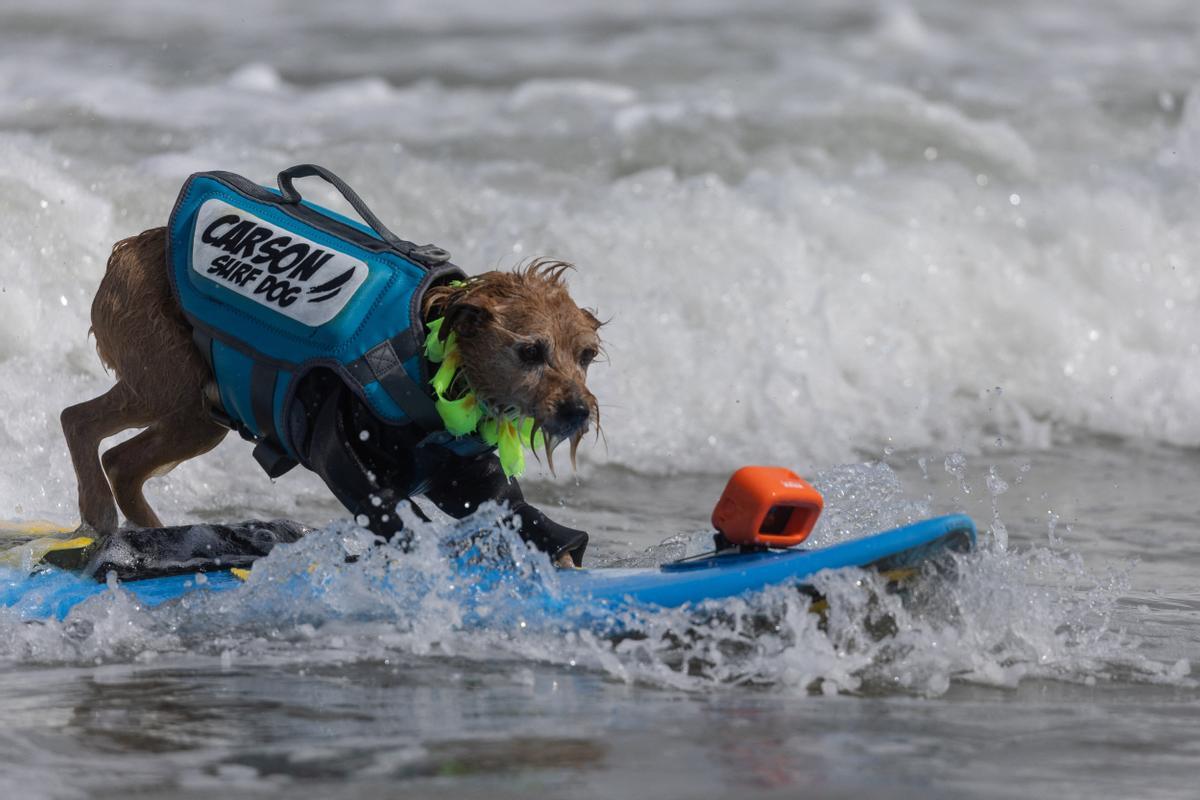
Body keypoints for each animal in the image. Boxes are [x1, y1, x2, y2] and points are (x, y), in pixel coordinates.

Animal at [60, 220, 604, 568]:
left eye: (587, 355)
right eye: (530, 350)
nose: (578, 412)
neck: (429, 359)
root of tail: (127, 249)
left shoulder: (462, 473)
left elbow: (506, 506)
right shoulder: (340, 455)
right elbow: (386, 510)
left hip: (196, 416)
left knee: (122, 462)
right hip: (171, 385)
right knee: (77, 419)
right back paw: (101, 515)